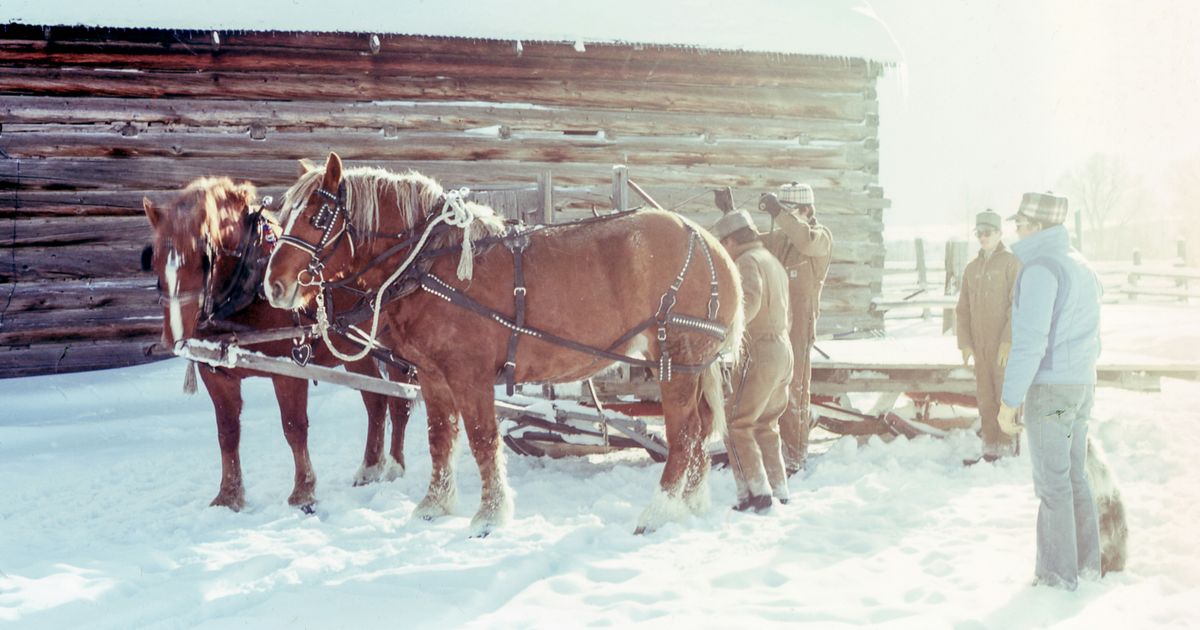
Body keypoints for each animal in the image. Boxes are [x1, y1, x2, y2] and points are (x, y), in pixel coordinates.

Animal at [141, 175, 417, 511]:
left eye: (203, 260)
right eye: (153, 260)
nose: (174, 337)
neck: (248, 288)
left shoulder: (290, 368)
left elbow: (294, 427)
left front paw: (303, 493)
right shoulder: (215, 374)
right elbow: (227, 432)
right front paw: (229, 496)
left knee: (400, 404)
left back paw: (395, 468)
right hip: (356, 351)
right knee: (376, 402)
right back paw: (369, 469)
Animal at [267, 152, 744, 530]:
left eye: (317, 217)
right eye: (281, 216)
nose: (274, 286)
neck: (431, 262)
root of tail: (707, 242)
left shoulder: (470, 374)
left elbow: (482, 439)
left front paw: (490, 516)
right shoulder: (432, 374)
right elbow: (441, 438)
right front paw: (434, 506)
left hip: (675, 358)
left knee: (683, 435)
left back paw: (658, 512)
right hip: (692, 364)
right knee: (701, 431)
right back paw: (690, 504)